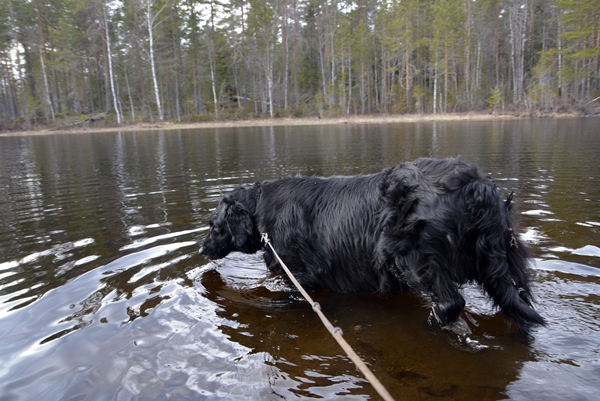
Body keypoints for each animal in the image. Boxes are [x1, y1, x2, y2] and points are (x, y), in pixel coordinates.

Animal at [200, 157, 544, 328]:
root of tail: (477, 186)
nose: (202, 249)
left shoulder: (301, 276)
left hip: (413, 257)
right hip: (496, 264)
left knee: (451, 303)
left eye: (213, 225)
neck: (261, 207)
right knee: (519, 305)